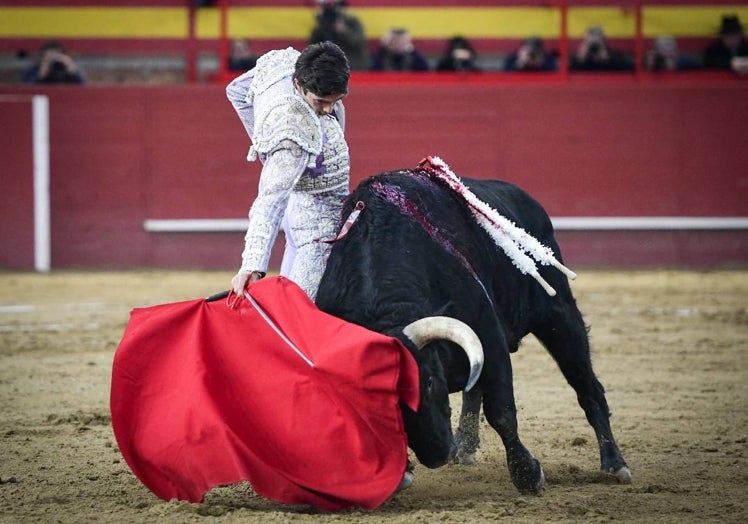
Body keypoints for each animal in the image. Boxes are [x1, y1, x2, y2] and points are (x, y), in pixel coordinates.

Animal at [316, 169, 632, 496]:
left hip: (559, 315)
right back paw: (465, 446)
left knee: (588, 387)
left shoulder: (489, 336)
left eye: (428, 382)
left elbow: (501, 412)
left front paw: (529, 475)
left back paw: (614, 465)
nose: (437, 454)